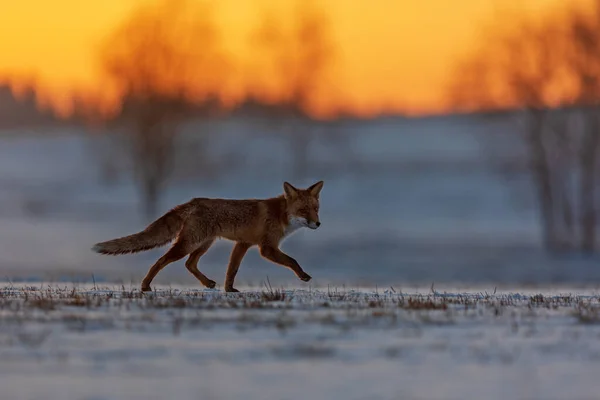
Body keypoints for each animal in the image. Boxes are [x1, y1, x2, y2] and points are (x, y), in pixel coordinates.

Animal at [92, 180, 324, 290]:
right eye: (304, 210)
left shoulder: (243, 243)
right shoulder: (266, 248)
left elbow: (232, 270)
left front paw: (229, 290)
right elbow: (292, 260)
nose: (318, 223)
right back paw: (145, 286)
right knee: (161, 260)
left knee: (189, 264)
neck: (281, 215)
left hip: (204, 244)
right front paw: (303, 275)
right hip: (189, 244)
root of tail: (193, 201)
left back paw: (208, 283)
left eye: (316, 209)